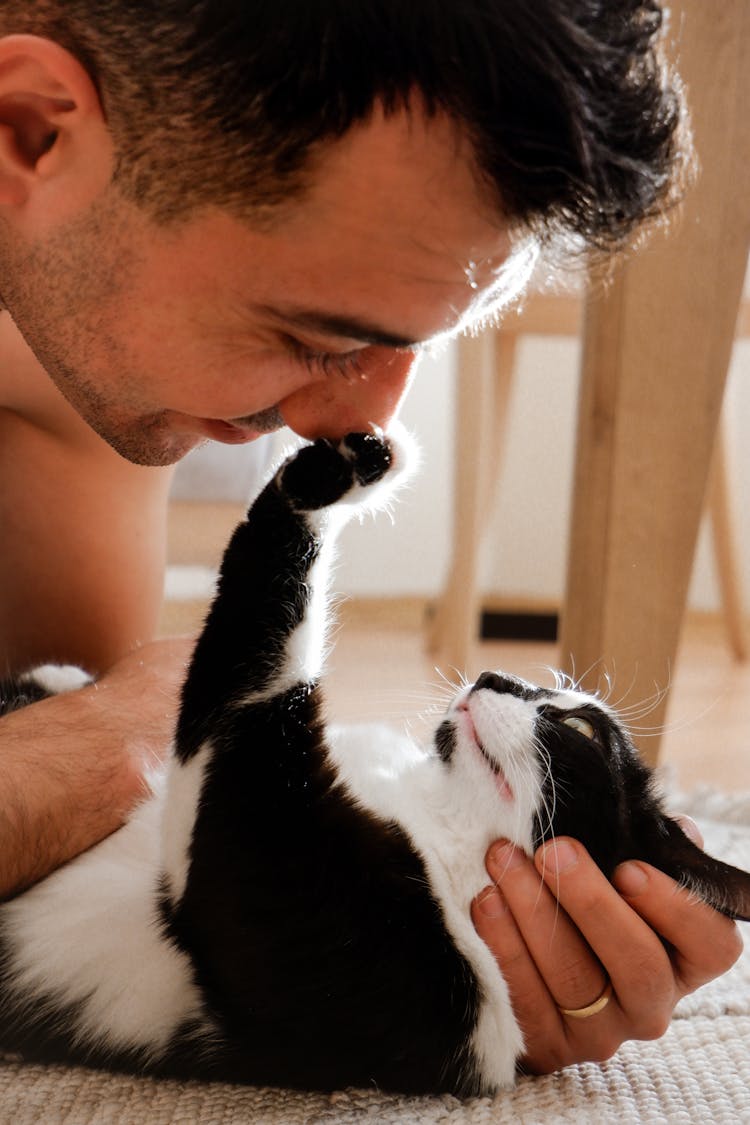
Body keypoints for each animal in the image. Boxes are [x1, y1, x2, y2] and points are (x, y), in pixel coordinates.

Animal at [1, 425, 750, 1093]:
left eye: (584, 732)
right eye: (542, 686)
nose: (495, 675)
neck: (430, 809)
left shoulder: (320, 905)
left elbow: (260, 677)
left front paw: (325, 477)